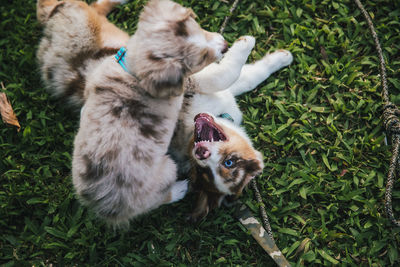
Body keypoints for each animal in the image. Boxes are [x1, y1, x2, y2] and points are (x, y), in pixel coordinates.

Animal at [36, 0, 228, 226]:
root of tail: (107, 209)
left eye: (199, 26)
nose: (225, 45)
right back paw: (179, 189)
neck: (134, 73)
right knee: (158, 199)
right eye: (202, 58)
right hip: (166, 169)